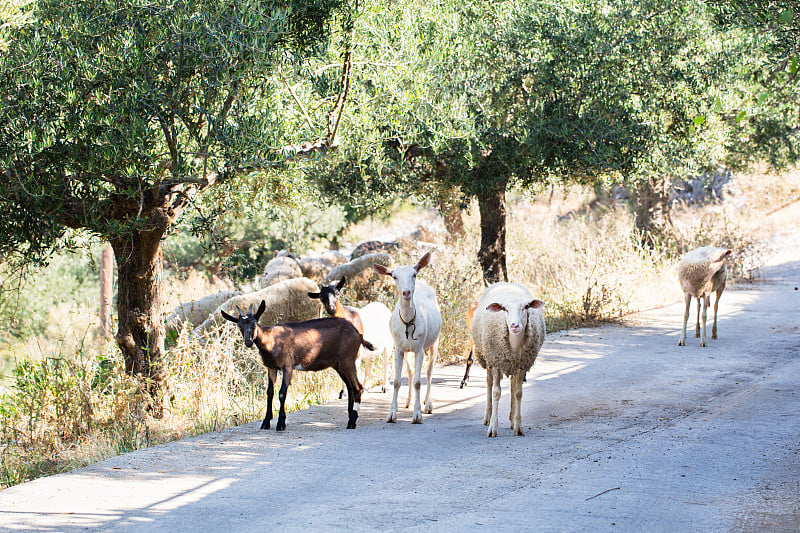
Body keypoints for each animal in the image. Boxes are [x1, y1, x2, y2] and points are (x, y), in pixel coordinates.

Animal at [220, 302, 374, 430]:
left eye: (254, 324)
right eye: (240, 326)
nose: (248, 342)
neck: (272, 341)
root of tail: (358, 334)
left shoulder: (287, 366)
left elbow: (282, 393)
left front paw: (281, 423)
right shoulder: (271, 367)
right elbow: (269, 393)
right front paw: (266, 422)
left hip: (348, 360)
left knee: (358, 387)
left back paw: (352, 422)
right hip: (339, 364)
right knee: (350, 387)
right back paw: (350, 417)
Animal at [376, 251, 444, 422]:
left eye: (414, 274)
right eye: (394, 276)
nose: (406, 292)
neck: (408, 321)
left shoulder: (419, 349)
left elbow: (419, 382)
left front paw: (417, 414)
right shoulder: (399, 348)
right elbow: (397, 381)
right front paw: (392, 414)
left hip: (435, 342)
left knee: (429, 372)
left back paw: (428, 404)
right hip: (408, 350)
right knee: (411, 371)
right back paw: (408, 401)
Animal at [472, 282, 548, 436]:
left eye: (526, 307)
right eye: (505, 309)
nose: (514, 325)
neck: (514, 345)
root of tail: (505, 283)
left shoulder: (522, 364)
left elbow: (518, 393)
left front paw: (518, 427)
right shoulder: (496, 361)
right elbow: (496, 392)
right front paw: (492, 428)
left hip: (513, 364)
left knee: (513, 386)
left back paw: (512, 420)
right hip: (488, 358)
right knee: (489, 384)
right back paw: (488, 416)